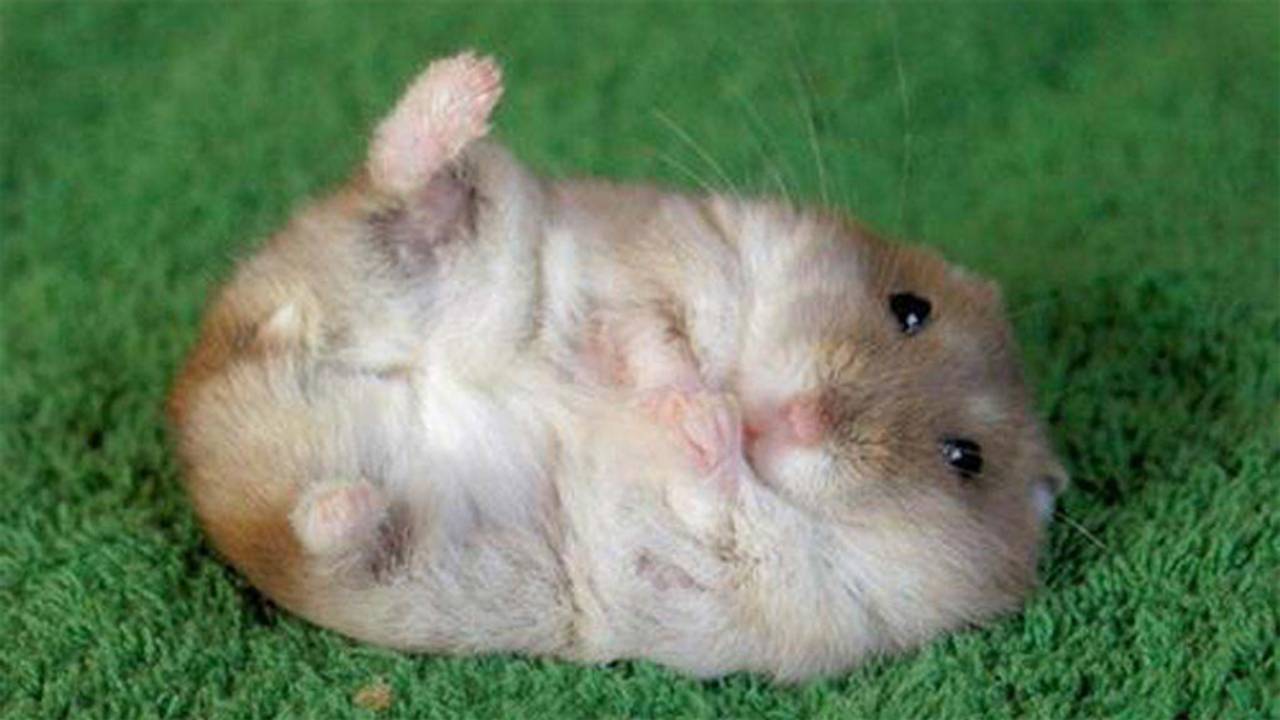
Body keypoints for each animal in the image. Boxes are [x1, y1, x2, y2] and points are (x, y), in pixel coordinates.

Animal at [167, 52, 1068, 681]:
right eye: (909, 307)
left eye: (965, 458)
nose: (795, 419)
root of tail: (211, 386)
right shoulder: (679, 252)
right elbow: (654, 334)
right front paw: (675, 392)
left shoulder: (792, 588)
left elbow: (720, 495)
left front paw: (696, 420)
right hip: (447, 245)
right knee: (404, 184)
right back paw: (469, 84)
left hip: (375, 562)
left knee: (321, 531)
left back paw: (352, 500)